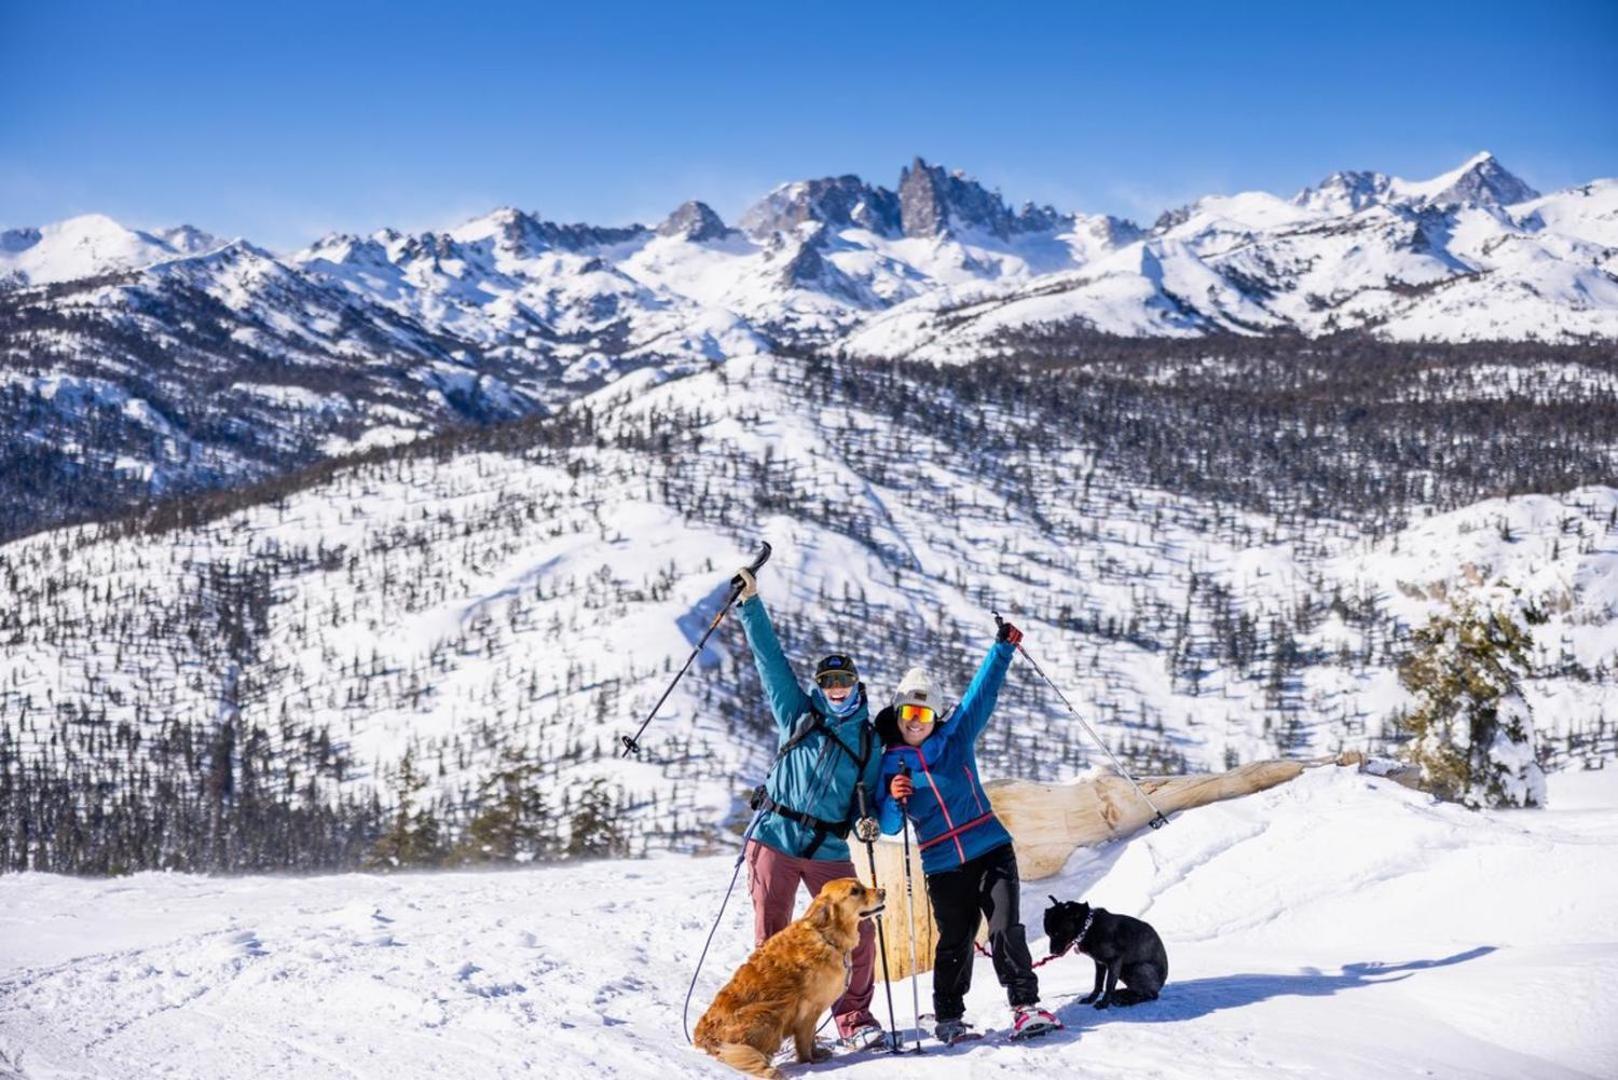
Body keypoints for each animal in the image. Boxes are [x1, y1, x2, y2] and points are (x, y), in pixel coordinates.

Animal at [1041, 900, 1171, 1010]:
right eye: (1048, 934)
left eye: (1057, 933)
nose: (1052, 952)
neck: (1088, 927)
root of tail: (1162, 983)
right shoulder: (1100, 963)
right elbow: (1098, 984)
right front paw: (1090, 999)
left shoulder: (1115, 961)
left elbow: (1108, 985)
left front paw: (1103, 1004)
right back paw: (1122, 995)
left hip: (1132, 968)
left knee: (1151, 995)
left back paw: (1126, 1000)